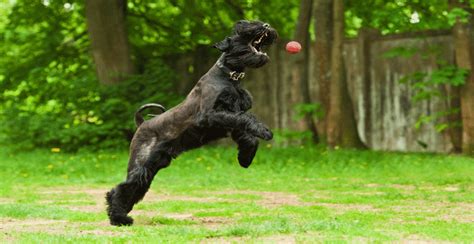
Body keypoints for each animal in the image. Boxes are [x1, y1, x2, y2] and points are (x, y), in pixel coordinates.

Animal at [104, 20, 278, 226]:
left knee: (134, 189)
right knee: (120, 189)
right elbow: (247, 119)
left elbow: (248, 133)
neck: (229, 77)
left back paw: (122, 216)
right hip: (142, 164)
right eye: (242, 29)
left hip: (152, 166)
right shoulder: (212, 115)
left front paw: (245, 158)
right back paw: (118, 218)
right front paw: (265, 131)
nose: (265, 25)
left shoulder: (231, 120)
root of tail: (141, 123)